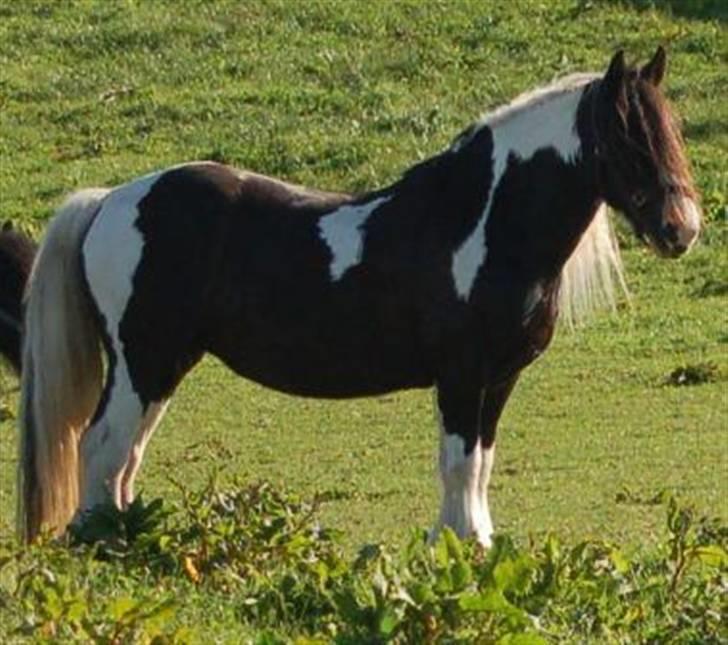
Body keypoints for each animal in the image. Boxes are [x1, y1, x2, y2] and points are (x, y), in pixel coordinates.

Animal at [15, 46, 700, 544]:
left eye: (671, 131)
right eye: (625, 138)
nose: (682, 229)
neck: (482, 223)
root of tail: (110, 199)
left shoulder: (499, 378)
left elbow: (481, 462)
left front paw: (477, 544)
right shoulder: (461, 374)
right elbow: (457, 463)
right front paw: (453, 547)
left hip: (162, 366)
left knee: (124, 453)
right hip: (143, 362)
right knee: (101, 446)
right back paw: (105, 540)